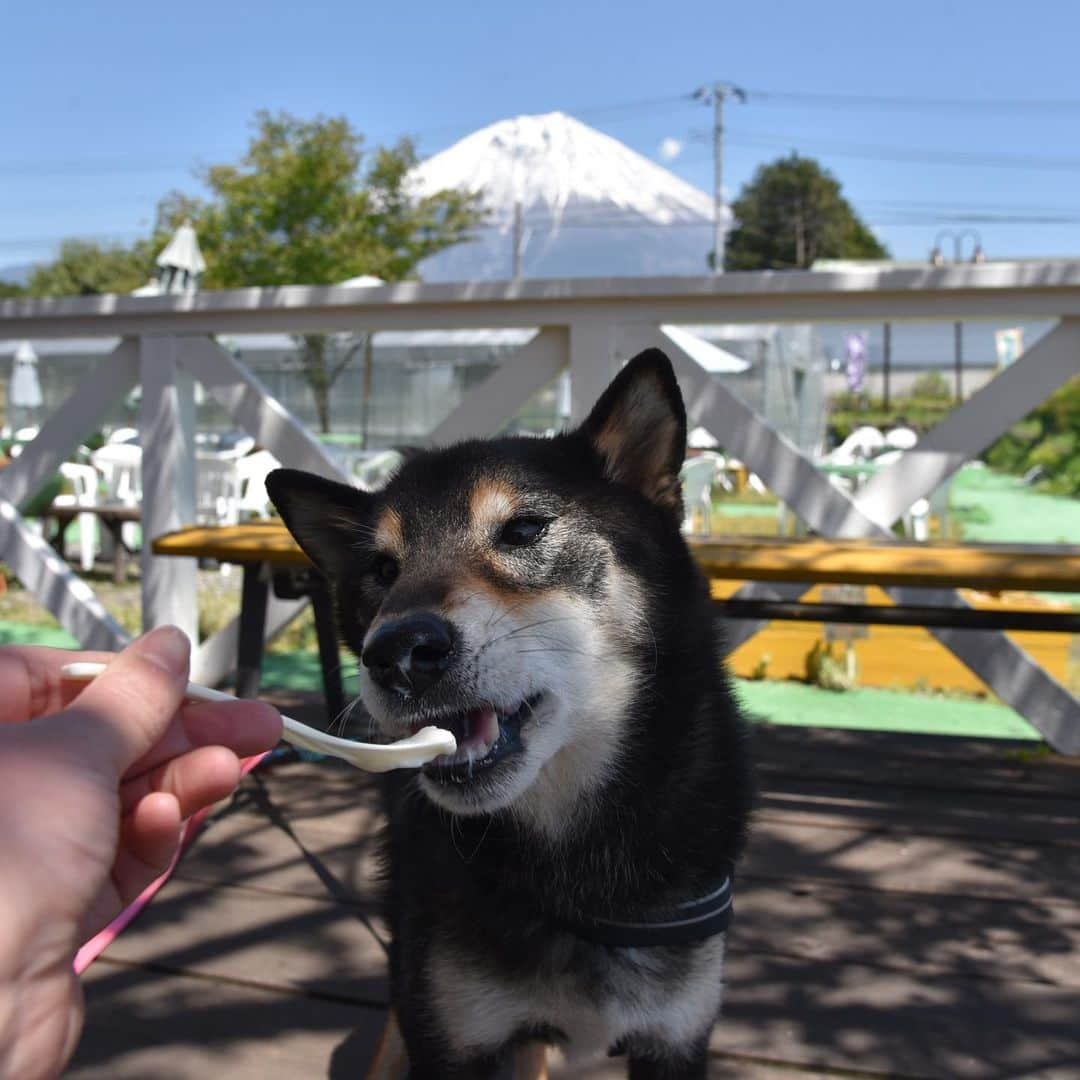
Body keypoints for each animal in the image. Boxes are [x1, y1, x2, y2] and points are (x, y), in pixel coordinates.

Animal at [265, 349, 751, 1075]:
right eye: (380, 569)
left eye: (524, 530)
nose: (397, 653)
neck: (575, 878)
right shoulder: (454, 1034)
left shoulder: (676, 1039)